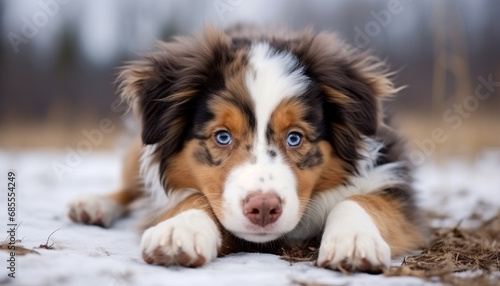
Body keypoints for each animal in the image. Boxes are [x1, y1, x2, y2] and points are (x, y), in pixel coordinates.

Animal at [68, 26, 424, 272]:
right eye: (222, 137)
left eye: (295, 138)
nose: (264, 208)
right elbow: (196, 198)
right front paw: (178, 230)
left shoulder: (392, 175)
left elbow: (363, 200)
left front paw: (354, 240)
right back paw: (94, 205)